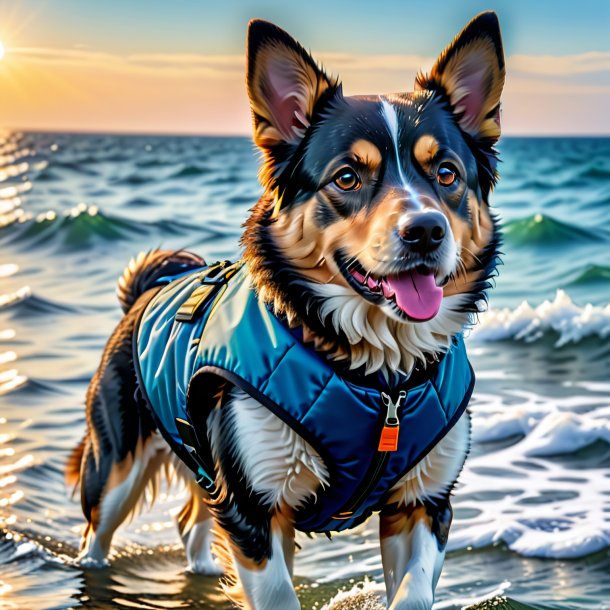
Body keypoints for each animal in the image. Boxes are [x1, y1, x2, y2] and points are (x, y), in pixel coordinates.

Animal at [67, 10, 504, 608]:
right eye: (347, 177)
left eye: (446, 174)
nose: (426, 231)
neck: (377, 370)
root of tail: (144, 294)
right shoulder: (255, 506)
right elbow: (276, 593)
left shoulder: (424, 503)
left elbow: (412, 592)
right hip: (114, 462)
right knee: (96, 530)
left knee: (191, 523)